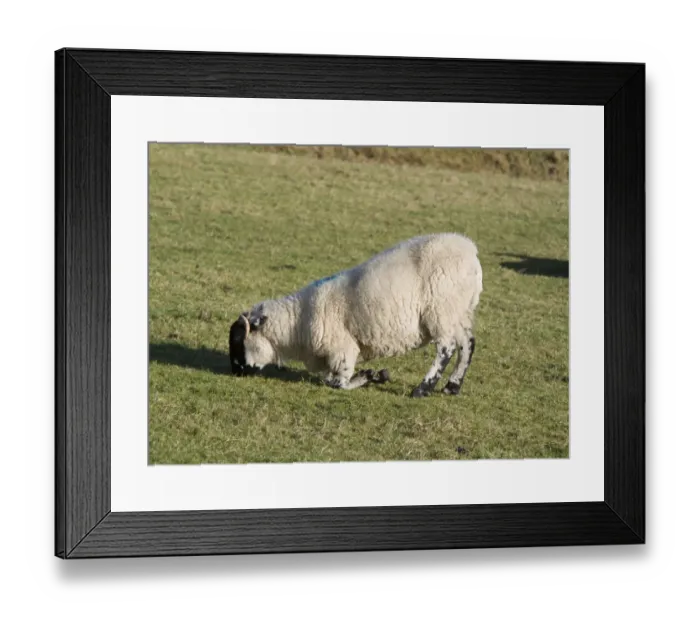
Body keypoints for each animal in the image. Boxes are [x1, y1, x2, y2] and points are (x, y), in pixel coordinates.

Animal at [229, 232, 483, 398]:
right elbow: (329, 379)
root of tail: (471, 251)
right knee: (467, 343)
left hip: (442, 310)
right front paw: (374, 375)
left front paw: (369, 376)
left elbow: (337, 383)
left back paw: (422, 389)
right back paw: (452, 386)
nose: (235, 373)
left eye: (239, 342)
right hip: (459, 312)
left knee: (446, 348)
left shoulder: (342, 350)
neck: (296, 323)